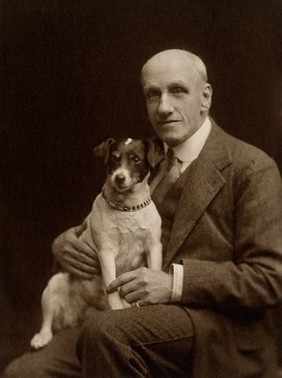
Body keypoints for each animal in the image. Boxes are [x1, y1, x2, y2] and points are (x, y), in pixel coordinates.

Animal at [30, 137, 163, 350]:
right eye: (114, 158)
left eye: (136, 159)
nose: (119, 178)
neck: (127, 207)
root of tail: (77, 318)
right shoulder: (106, 252)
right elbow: (112, 286)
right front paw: (116, 310)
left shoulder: (154, 247)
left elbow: (153, 271)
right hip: (53, 286)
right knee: (47, 321)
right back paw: (41, 337)